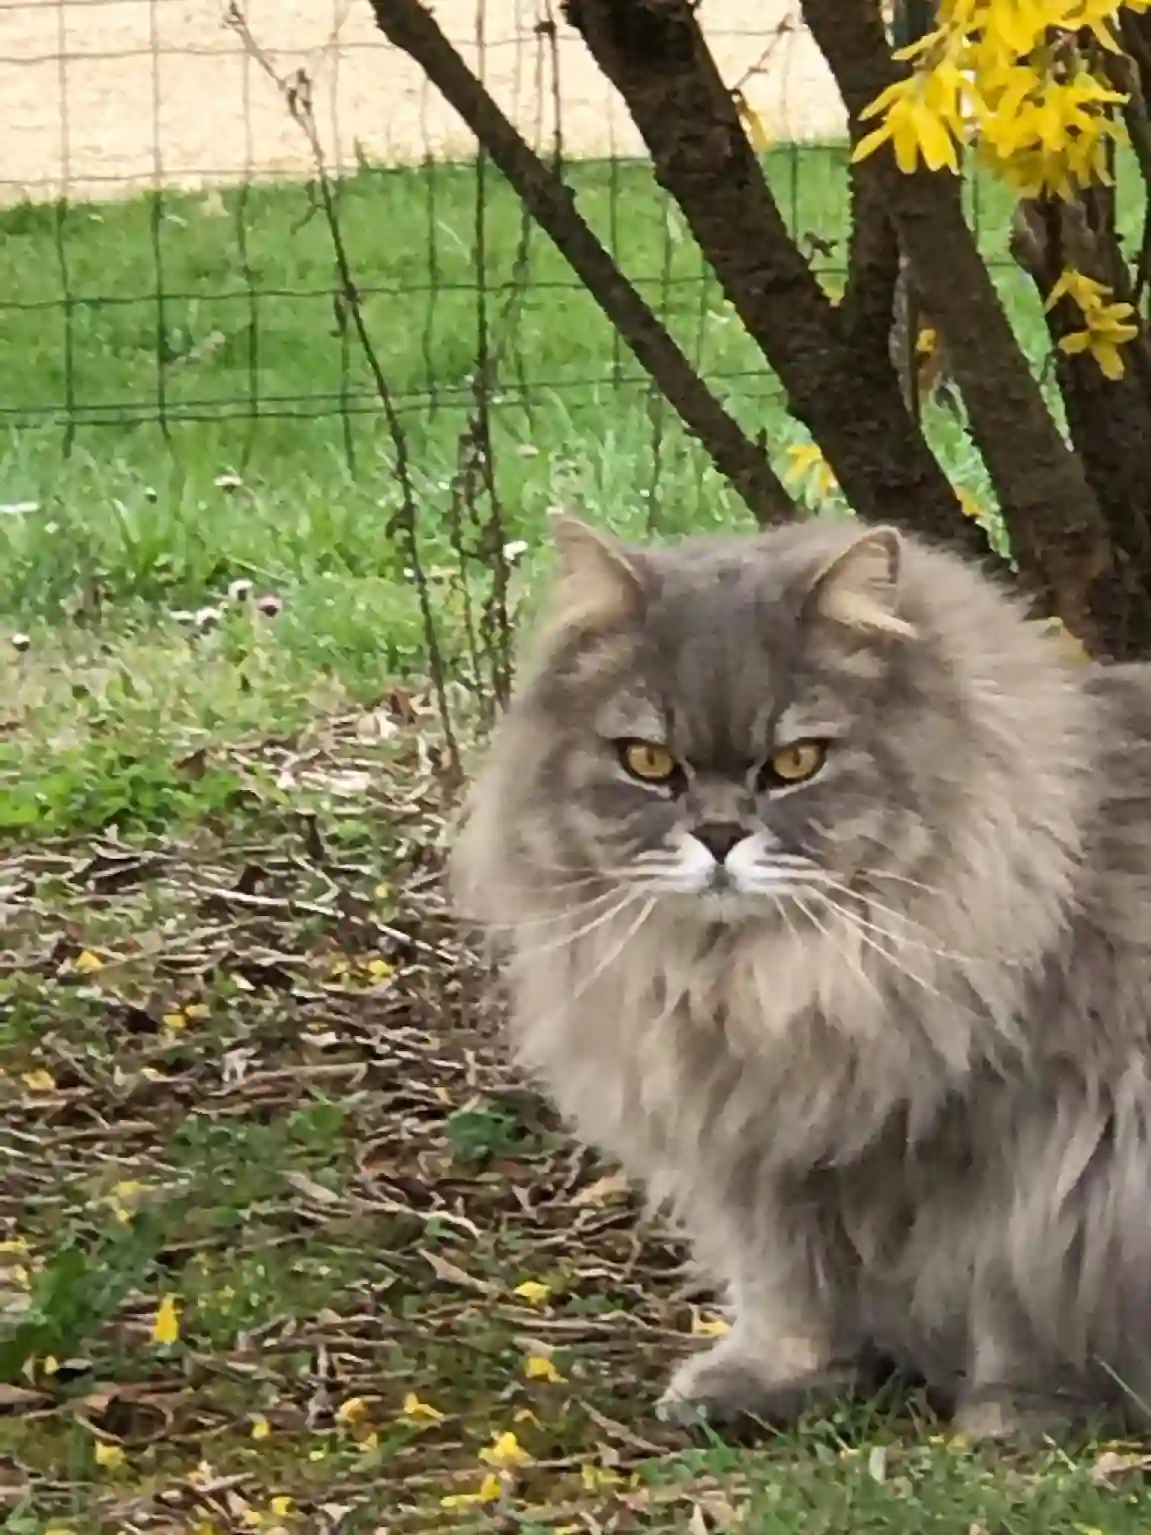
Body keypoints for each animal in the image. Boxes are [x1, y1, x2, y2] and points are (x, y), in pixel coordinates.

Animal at [454, 515, 1151, 1436]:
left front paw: (1013, 1414)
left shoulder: (1039, 1148)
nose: (717, 836)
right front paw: (769, 1379)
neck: (763, 981)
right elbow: (791, 1293)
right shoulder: (770, 1160)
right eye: (647, 762)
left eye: (795, 763)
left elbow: (1012, 1294)